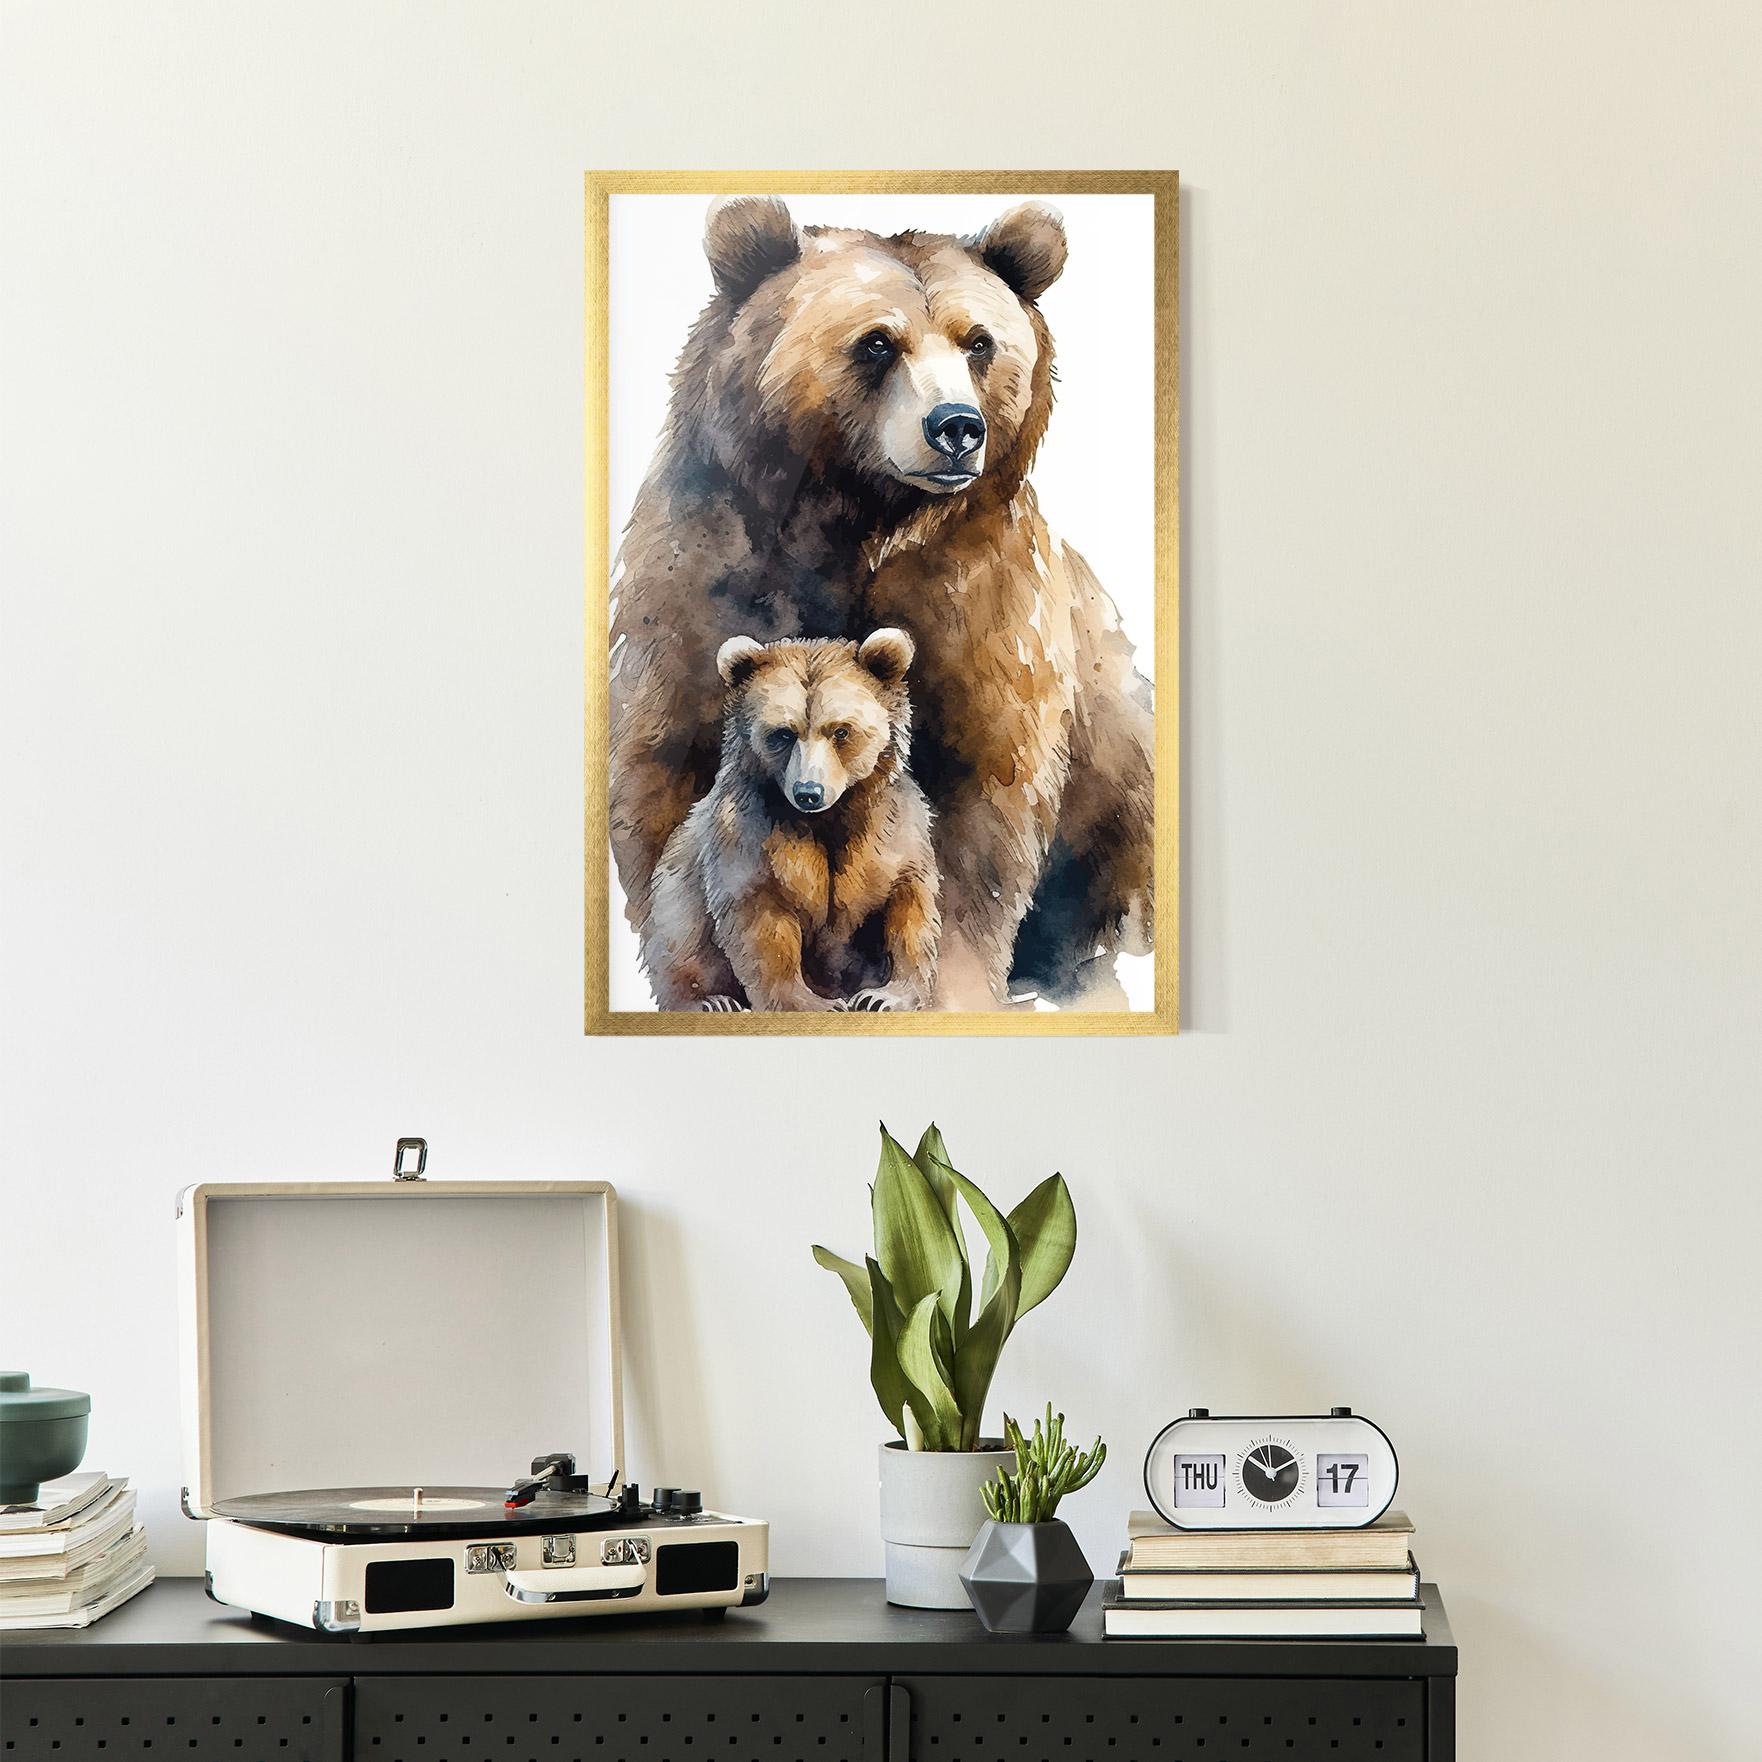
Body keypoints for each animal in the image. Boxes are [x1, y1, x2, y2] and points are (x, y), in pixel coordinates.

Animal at [639, 627, 940, 1013]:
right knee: (678, 936)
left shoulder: (892, 831)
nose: (808, 792)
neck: (829, 818)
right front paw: (814, 1003)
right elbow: (763, 923)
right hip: (674, 885)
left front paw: (884, 995)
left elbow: (909, 908)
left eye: (841, 731)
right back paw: (709, 1001)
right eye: (783, 733)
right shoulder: (750, 836)